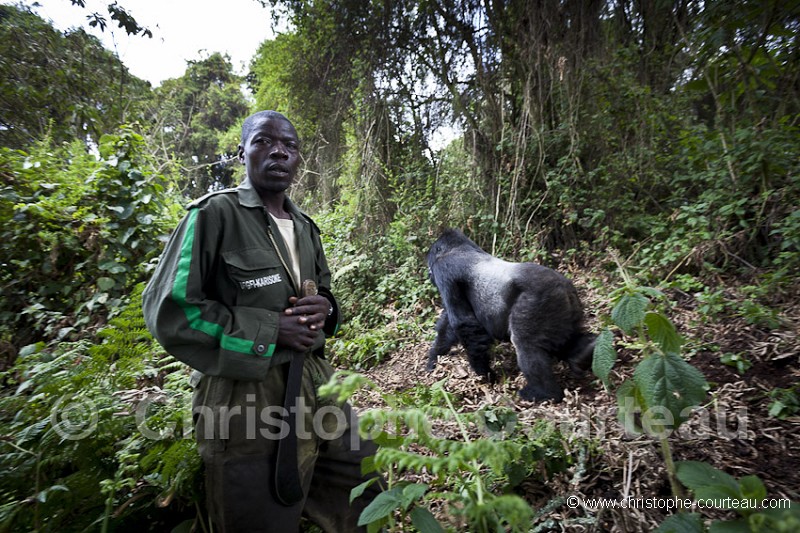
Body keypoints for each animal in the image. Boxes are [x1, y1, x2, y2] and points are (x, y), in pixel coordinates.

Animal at [428, 227, 596, 402]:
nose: (428, 274)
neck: (457, 247)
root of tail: (565, 287)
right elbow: (449, 325)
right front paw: (434, 357)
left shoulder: (444, 270)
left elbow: (463, 322)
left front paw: (484, 374)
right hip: (567, 307)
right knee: (566, 338)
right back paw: (583, 354)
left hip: (540, 301)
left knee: (525, 343)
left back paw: (544, 392)